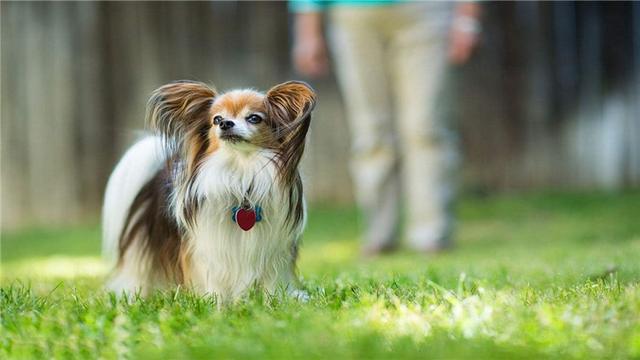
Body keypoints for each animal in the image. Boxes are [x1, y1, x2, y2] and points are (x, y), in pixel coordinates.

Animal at [100, 80, 318, 302]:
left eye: (254, 118)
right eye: (217, 119)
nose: (225, 124)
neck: (240, 174)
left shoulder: (272, 250)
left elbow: (271, 283)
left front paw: (271, 302)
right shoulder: (209, 249)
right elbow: (215, 281)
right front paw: (217, 304)